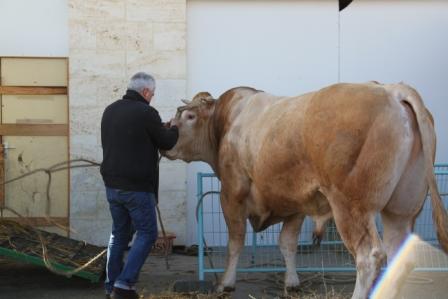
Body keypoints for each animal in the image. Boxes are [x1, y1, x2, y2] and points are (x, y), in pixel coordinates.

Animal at [162, 82, 448, 299]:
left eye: (189, 116)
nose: (166, 138)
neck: (227, 122)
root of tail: (393, 90)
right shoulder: (295, 201)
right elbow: (287, 244)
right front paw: (291, 282)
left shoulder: (232, 193)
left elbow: (236, 241)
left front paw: (225, 283)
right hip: (402, 209)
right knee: (400, 254)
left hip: (352, 207)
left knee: (369, 256)